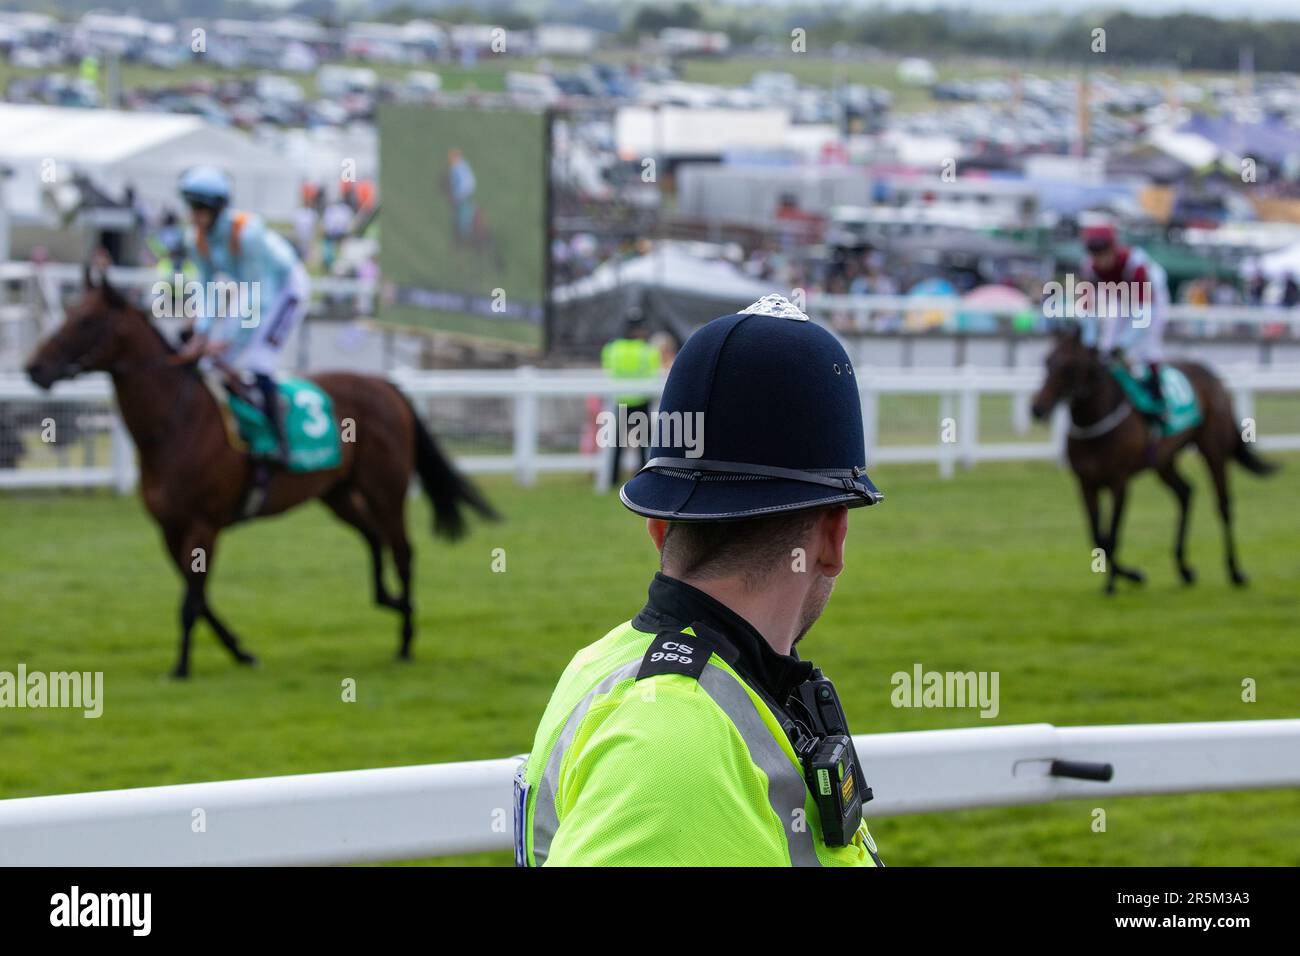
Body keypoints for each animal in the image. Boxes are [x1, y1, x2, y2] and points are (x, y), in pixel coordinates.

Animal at [24, 274, 496, 681]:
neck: (176, 425)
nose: (34, 367)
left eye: (85, 320)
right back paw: (390, 602)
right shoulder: (169, 529)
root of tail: (387, 385)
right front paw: (241, 651)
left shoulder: (203, 525)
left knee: (402, 551)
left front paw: (181, 667)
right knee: (374, 539)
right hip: (337, 493)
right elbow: (200, 599)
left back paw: (406, 638)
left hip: (385, 488)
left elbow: (191, 602)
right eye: (69, 311)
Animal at [1034, 327, 1279, 590]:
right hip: (1164, 461)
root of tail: (1212, 375)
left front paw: (1122, 580)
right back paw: (1184, 569)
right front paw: (1125, 577)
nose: (1036, 408)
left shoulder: (1119, 482)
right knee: (1185, 493)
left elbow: (1112, 535)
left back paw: (1235, 571)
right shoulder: (1085, 483)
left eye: (1069, 366)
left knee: (1223, 505)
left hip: (1213, 450)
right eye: (1046, 361)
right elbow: (1098, 537)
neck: (1097, 419)